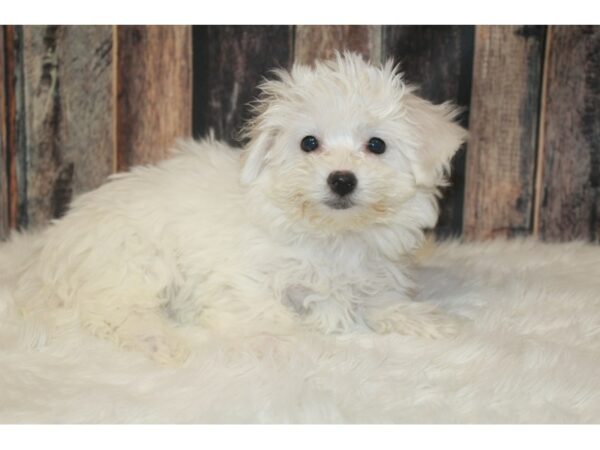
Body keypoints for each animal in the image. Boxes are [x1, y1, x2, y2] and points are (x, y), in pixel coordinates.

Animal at [0, 52, 466, 364]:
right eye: (308, 143)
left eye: (376, 145)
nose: (341, 179)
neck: (331, 236)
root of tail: (48, 251)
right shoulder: (239, 281)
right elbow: (266, 312)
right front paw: (288, 344)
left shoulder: (372, 275)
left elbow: (380, 301)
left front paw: (424, 320)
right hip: (134, 259)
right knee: (111, 312)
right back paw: (160, 341)